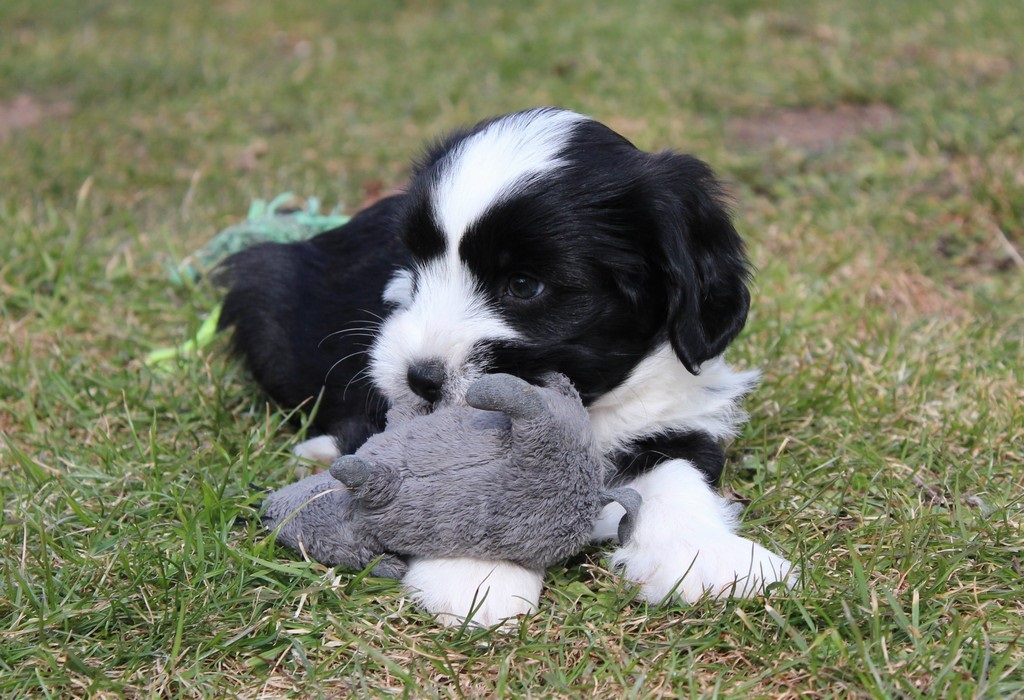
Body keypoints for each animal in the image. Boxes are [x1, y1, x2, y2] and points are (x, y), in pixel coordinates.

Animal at [218, 107, 795, 625]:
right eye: (415, 268)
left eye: (523, 285)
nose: (419, 378)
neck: (586, 407)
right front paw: (475, 571)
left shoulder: (673, 404)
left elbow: (678, 471)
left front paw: (709, 557)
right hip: (266, 291)